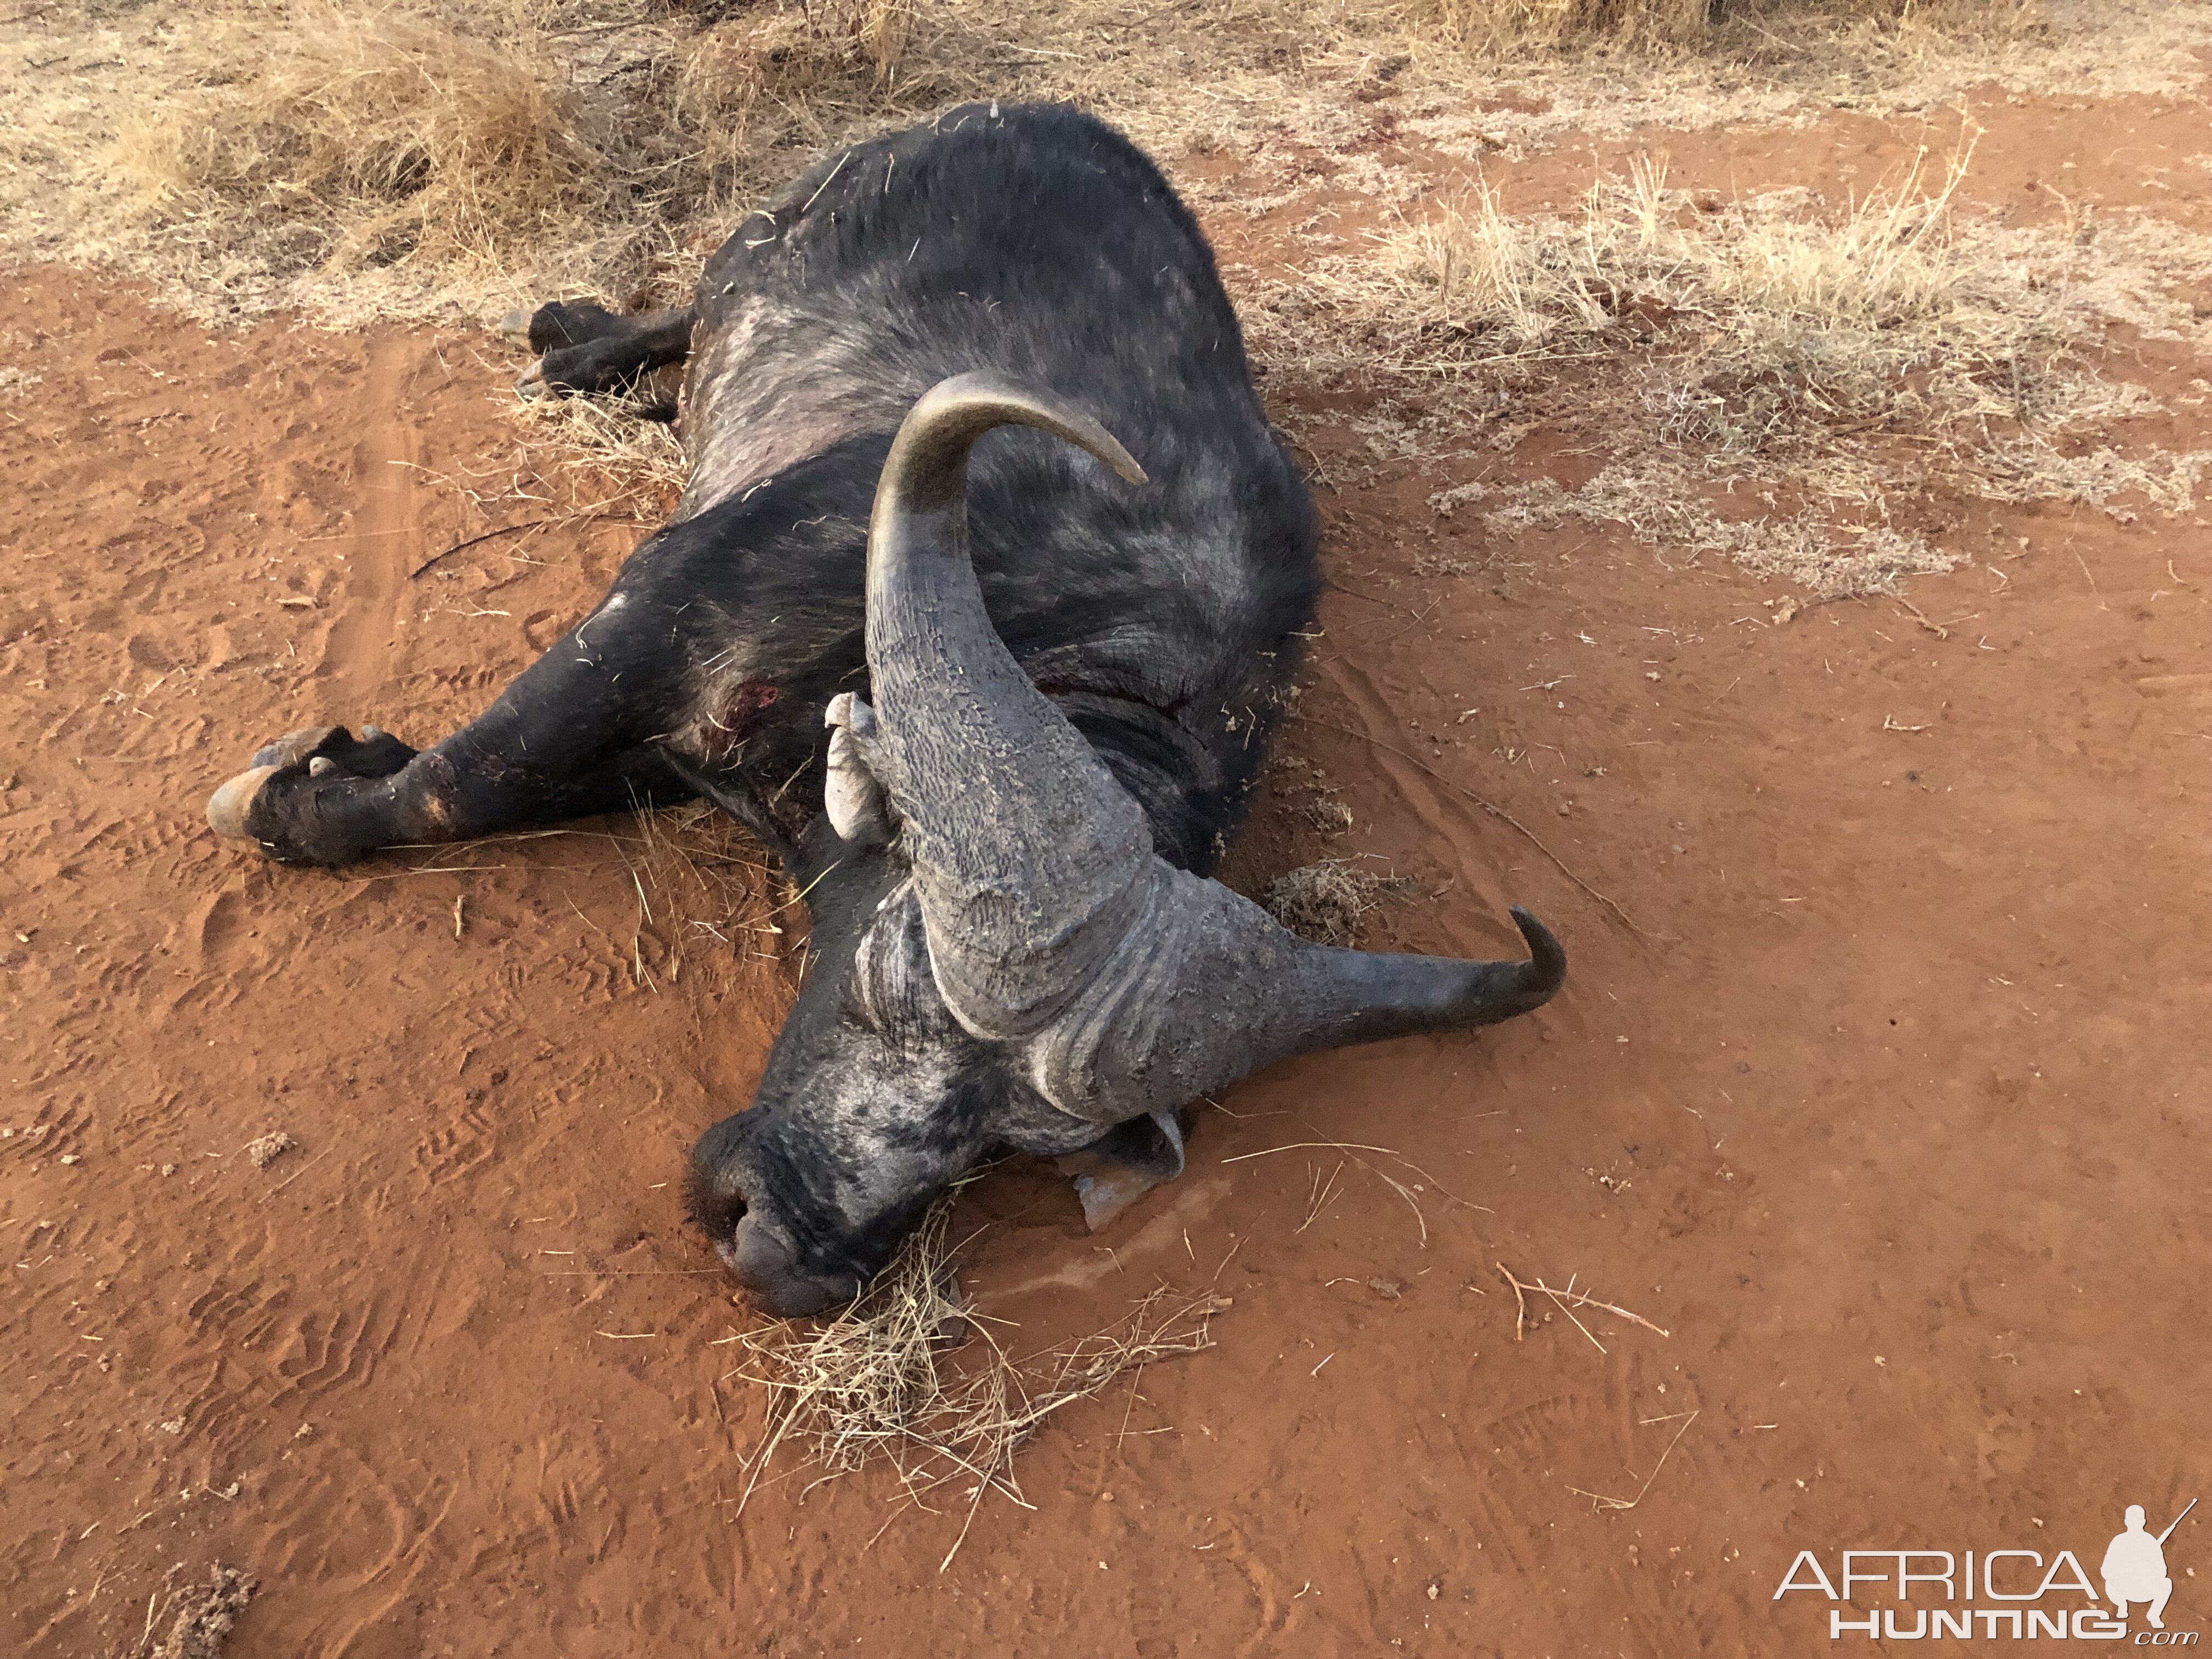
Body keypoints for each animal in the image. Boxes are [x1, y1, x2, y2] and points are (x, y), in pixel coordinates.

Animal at [203, 107, 1557, 1327]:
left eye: (1017, 1138)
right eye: (895, 961)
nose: (789, 1252)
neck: (1083, 637)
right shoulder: (652, 621)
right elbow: (455, 785)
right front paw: (292, 792)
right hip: (749, 245)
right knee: (682, 308)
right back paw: (578, 343)